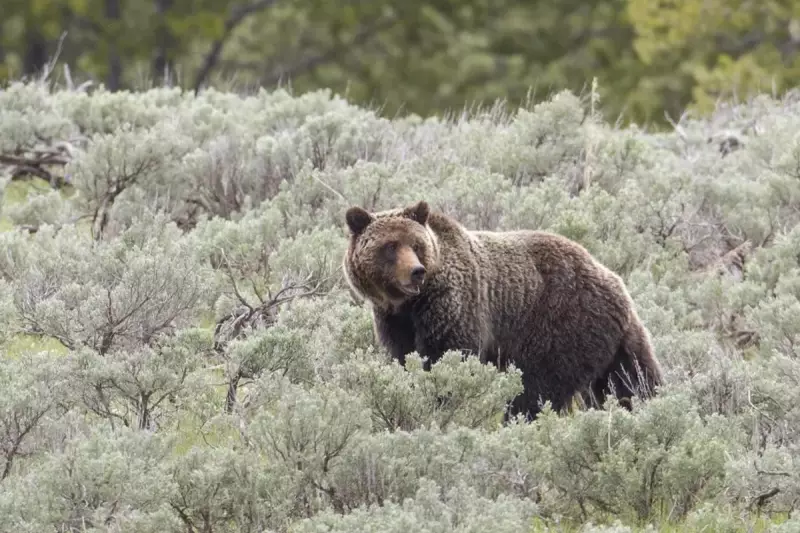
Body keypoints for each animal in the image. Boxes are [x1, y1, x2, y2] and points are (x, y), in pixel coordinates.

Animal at [342, 200, 664, 421]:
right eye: (390, 246)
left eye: (416, 244)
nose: (416, 272)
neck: (409, 305)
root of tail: (615, 282)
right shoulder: (394, 321)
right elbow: (402, 358)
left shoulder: (453, 306)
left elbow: (447, 357)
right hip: (612, 341)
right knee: (631, 379)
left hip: (561, 326)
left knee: (537, 389)